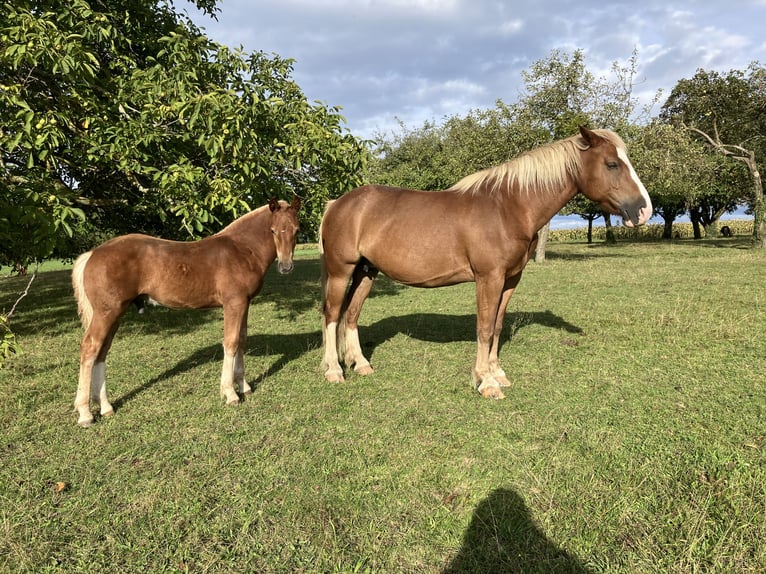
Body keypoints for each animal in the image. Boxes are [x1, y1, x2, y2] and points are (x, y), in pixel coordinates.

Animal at [72, 198, 300, 428]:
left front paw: (244, 386)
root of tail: (93, 254)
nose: (286, 267)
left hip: (114, 314)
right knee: (90, 347)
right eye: (272, 231)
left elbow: (242, 341)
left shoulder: (244, 303)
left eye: (296, 230)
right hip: (106, 313)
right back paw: (85, 413)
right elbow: (231, 343)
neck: (242, 250)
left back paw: (106, 407)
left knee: (102, 350)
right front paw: (230, 394)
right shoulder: (233, 303)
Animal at [320, 128, 652, 400]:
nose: (643, 210)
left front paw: (497, 373)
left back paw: (360, 364)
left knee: (352, 314)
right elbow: (483, 327)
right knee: (333, 315)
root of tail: (338, 203)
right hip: (340, 272)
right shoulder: (488, 278)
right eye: (612, 164)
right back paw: (334, 370)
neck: (509, 207)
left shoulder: (510, 279)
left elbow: (497, 325)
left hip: (366, 272)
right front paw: (486, 383)